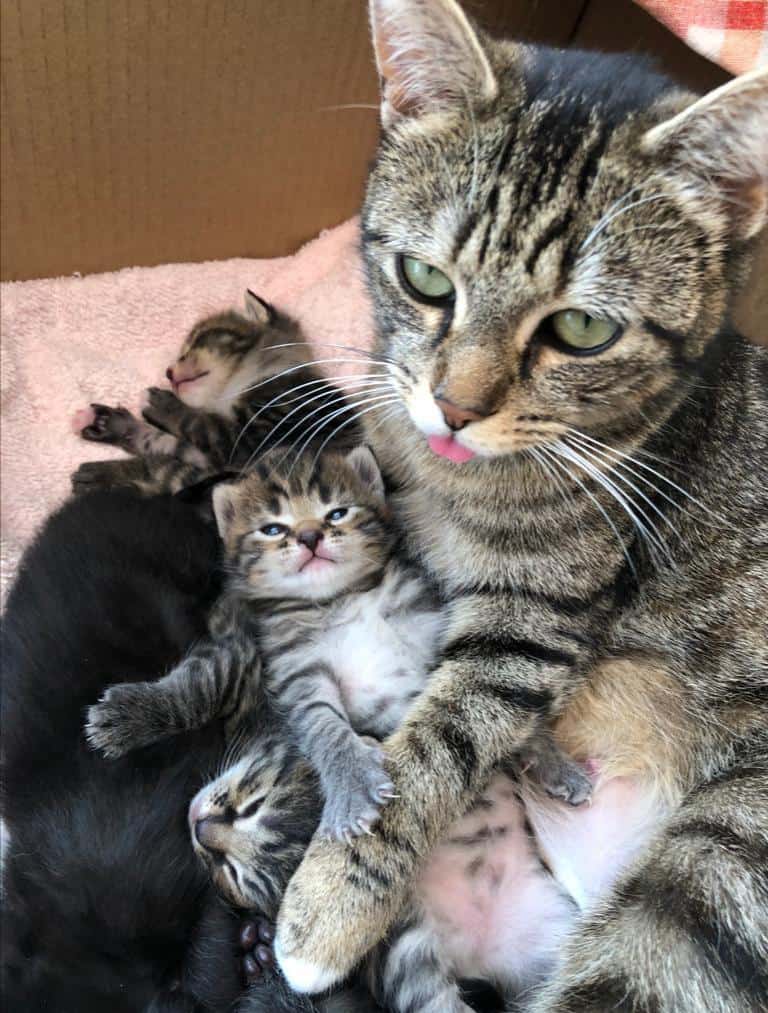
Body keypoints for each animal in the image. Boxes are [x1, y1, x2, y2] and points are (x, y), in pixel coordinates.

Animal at [73, 287, 362, 496]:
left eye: (197, 341)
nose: (168, 372)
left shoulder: (253, 435)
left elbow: (198, 426)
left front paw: (163, 405)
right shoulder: (215, 457)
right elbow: (167, 443)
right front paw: (117, 425)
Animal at [87, 447, 591, 842]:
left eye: (337, 512)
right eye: (273, 528)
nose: (310, 536)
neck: (341, 599)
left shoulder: (429, 632)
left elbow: (477, 702)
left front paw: (544, 751)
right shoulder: (294, 671)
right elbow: (322, 726)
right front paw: (349, 788)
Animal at [271, 3, 768, 1008]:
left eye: (583, 328)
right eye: (425, 279)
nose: (454, 407)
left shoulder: (528, 628)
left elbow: (435, 747)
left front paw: (329, 900)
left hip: (719, 867)